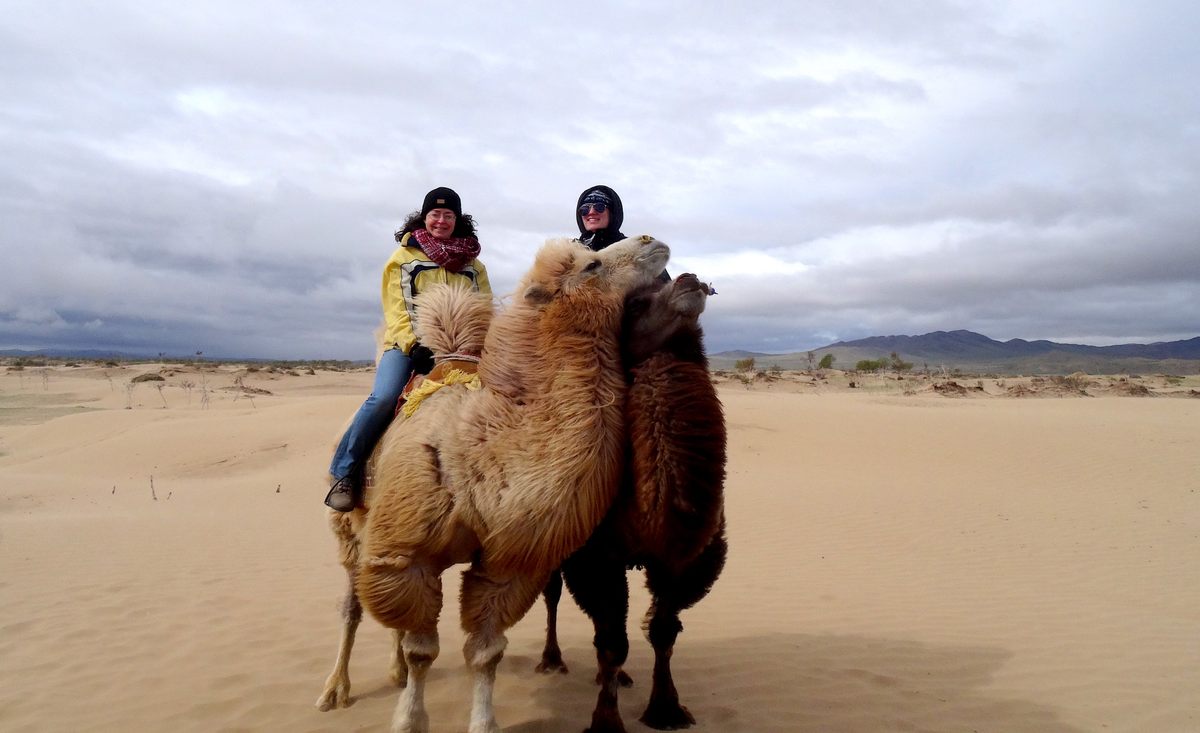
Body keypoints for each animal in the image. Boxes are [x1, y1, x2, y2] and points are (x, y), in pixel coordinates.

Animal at [314, 235, 672, 733]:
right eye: (591, 266)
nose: (651, 240)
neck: (482, 449)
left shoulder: (507, 564)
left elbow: (484, 652)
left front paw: (481, 721)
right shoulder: (408, 553)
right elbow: (422, 649)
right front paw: (409, 719)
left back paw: (393, 673)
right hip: (350, 527)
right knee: (352, 605)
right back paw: (335, 691)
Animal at [537, 273, 724, 733]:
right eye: (637, 304)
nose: (691, 281)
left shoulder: (682, 559)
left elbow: (663, 631)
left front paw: (666, 709)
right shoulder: (594, 558)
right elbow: (611, 641)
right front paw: (606, 722)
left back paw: (618, 678)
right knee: (552, 592)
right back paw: (552, 660)